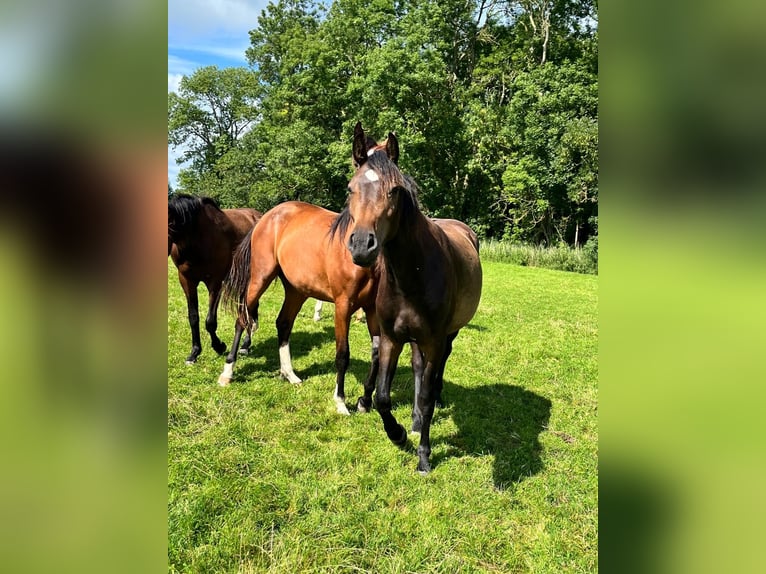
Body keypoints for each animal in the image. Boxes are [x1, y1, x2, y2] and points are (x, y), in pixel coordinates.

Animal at [168, 194, 261, 364]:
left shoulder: (215, 282)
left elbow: (210, 321)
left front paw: (219, 346)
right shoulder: (186, 281)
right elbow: (193, 317)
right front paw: (194, 353)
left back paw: (245, 344)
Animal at [216, 201, 381, 416]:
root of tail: (266, 217)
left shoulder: (373, 310)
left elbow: (377, 355)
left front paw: (365, 401)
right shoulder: (343, 307)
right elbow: (343, 354)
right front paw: (341, 402)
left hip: (296, 291)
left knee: (283, 323)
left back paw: (289, 374)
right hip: (260, 278)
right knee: (242, 320)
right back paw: (227, 373)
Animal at [338, 122, 483, 473]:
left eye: (394, 190)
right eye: (350, 188)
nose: (361, 245)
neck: (411, 274)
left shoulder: (433, 339)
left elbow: (427, 396)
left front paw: (424, 456)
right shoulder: (391, 338)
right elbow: (383, 397)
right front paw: (399, 433)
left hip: (448, 334)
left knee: (439, 367)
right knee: (418, 367)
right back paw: (415, 421)